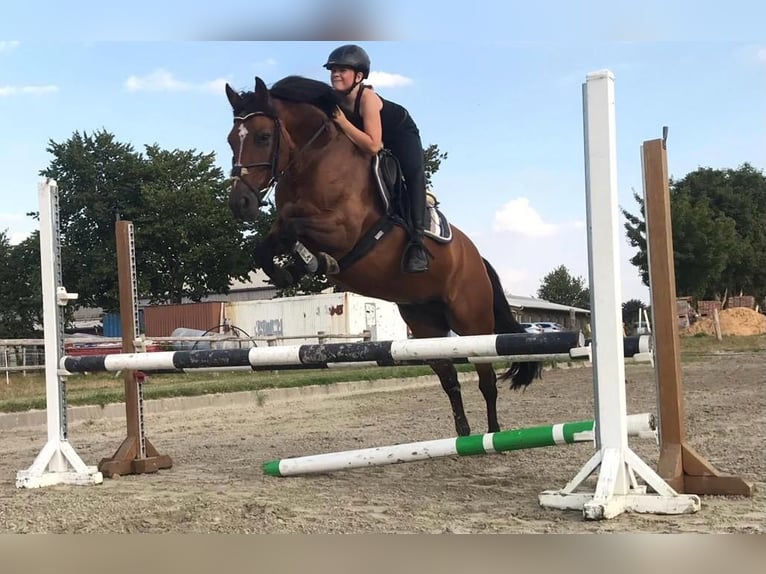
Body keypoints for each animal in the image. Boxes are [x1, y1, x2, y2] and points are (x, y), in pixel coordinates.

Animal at [225, 75, 544, 436]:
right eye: (230, 141)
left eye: (263, 137)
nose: (240, 204)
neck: (312, 161)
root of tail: (476, 257)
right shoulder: (285, 224)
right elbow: (267, 245)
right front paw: (289, 270)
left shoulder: (344, 230)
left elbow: (296, 229)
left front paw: (315, 261)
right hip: (424, 324)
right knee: (450, 379)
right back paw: (463, 436)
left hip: (471, 322)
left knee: (486, 380)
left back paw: (491, 433)